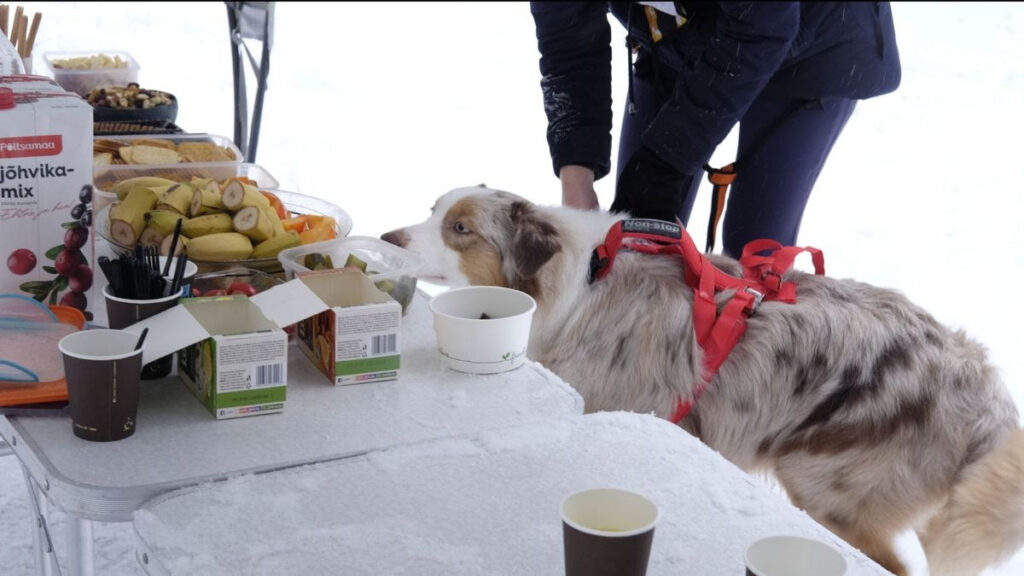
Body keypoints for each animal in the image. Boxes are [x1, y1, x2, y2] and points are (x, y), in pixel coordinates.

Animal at [382, 186, 1024, 569]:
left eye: (461, 228)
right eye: (434, 210)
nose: (387, 238)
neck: (579, 282)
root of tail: (984, 383)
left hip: (834, 491)